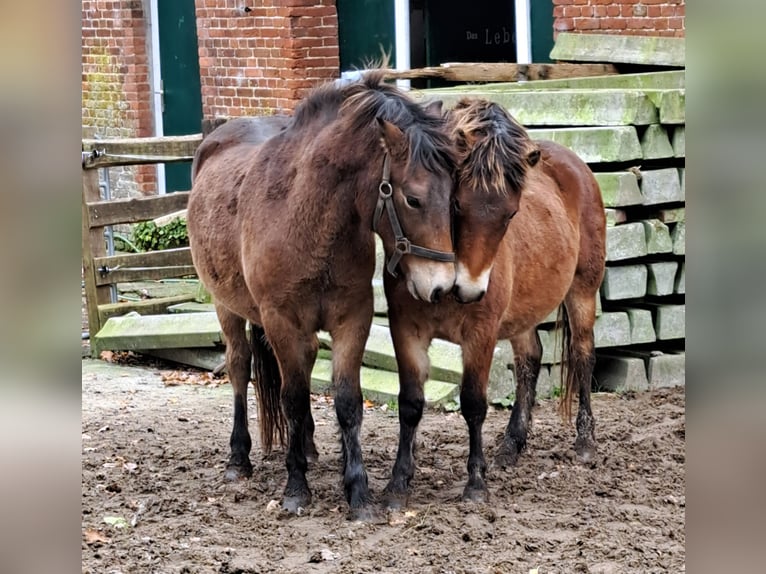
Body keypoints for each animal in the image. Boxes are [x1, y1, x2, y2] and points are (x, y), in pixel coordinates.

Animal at [188, 72, 460, 520]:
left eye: (453, 196)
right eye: (413, 198)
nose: (441, 287)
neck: (310, 217)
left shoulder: (352, 319)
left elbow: (347, 402)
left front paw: (358, 492)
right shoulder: (280, 321)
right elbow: (295, 398)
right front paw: (296, 488)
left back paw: (310, 448)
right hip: (226, 307)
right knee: (240, 369)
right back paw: (238, 459)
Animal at [384, 99, 608, 508]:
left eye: (511, 214)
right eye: (456, 203)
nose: (470, 290)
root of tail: (576, 165)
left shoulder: (481, 334)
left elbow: (474, 403)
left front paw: (475, 483)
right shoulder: (406, 330)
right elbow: (410, 403)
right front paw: (397, 484)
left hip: (583, 292)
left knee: (583, 355)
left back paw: (585, 441)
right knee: (529, 361)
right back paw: (511, 445)